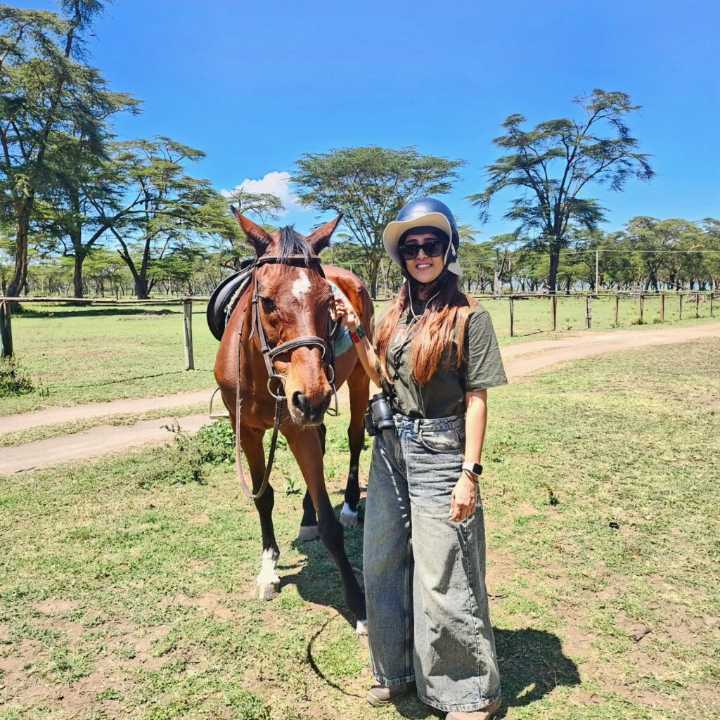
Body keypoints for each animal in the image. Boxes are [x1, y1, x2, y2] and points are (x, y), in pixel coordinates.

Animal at [213, 210, 372, 632]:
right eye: (267, 301)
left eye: (328, 302)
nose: (312, 395)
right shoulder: (246, 430)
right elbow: (263, 496)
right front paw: (269, 569)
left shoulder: (298, 424)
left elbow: (331, 525)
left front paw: (360, 606)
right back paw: (306, 516)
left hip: (358, 381)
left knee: (354, 438)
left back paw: (350, 506)